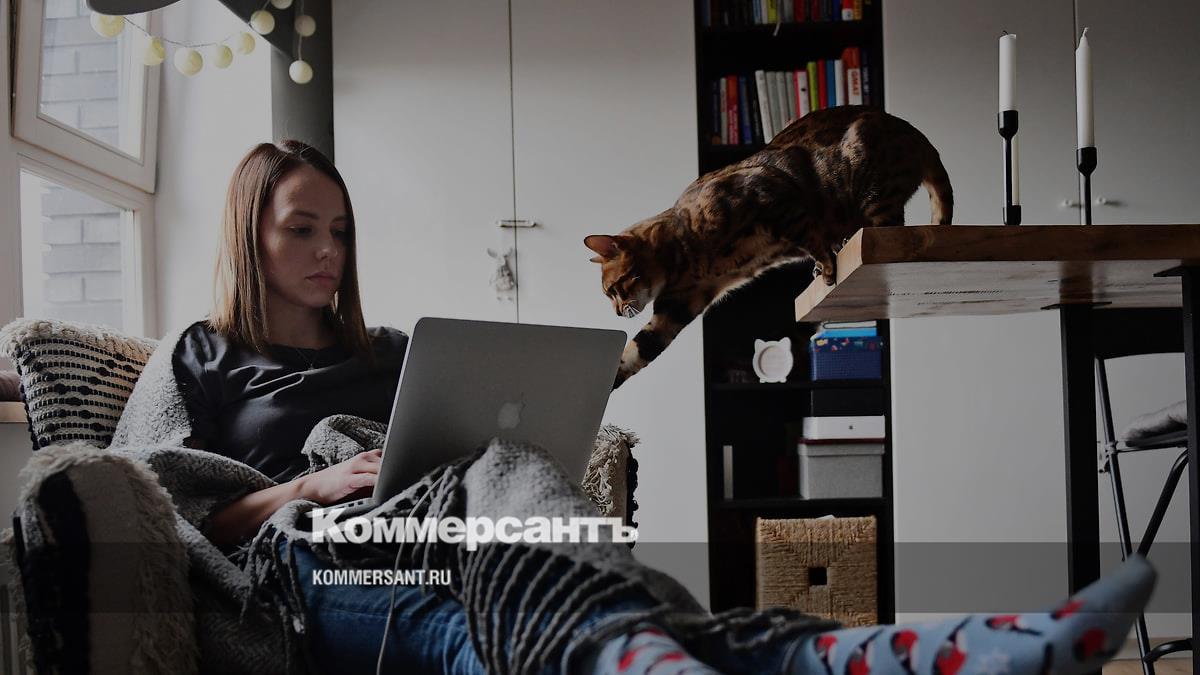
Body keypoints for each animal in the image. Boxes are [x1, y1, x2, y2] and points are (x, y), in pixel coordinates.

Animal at [585, 105, 952, 389]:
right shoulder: (674, 310)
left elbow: (809, 236)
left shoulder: (772, 197)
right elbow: (633, 354)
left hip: (870, 181)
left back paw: (843, 249)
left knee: (888, 227)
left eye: (614, 289)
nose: (616, 312)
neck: (685, 261)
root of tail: (916, 135)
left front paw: (827, 265)